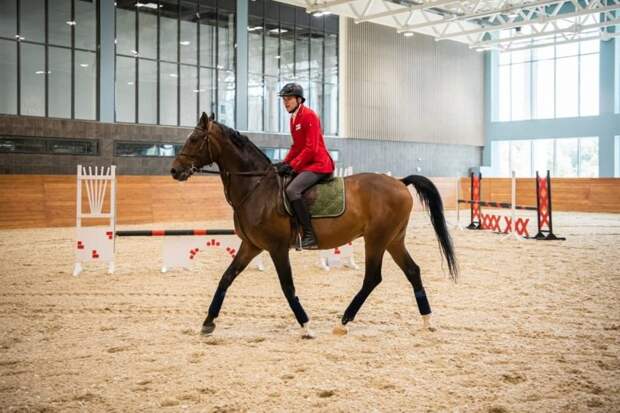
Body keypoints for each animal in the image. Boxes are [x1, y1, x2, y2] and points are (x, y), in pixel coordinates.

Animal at [172, 112, 458, 338]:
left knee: (372, 278)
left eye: (194, 139)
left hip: (376, 239)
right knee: (412, 271)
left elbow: (287, 287)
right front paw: (208, 323)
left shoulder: (276, 248)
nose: (175, 171)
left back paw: (344, 322)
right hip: (393, 239)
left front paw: (306, 326)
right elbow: (226, 278)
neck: (256, 187)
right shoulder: (251, 245)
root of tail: (399, 181)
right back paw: (427, 320)